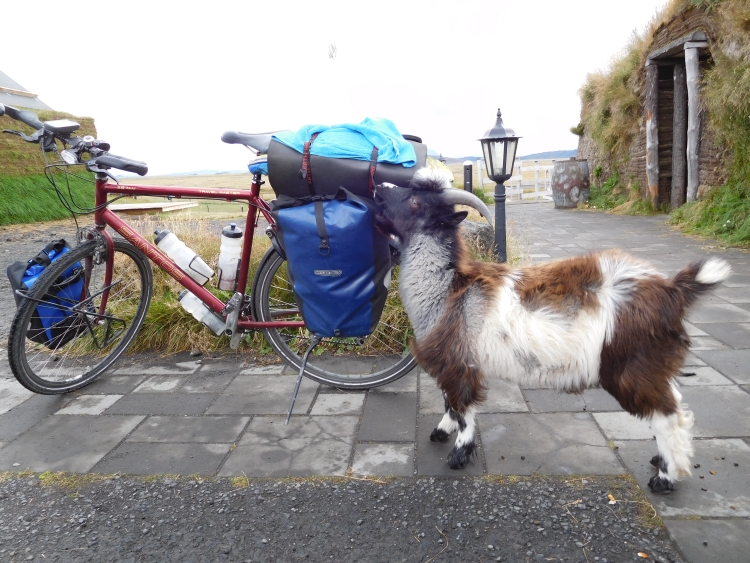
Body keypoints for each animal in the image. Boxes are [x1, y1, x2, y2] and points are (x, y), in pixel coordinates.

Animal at [376, 170, 736, 496]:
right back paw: (661, 461)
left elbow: (464, 409)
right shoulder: (454, 363)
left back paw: (665, 478)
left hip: (632, 368)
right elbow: (450, 403)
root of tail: (672, 290)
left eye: (415, 201)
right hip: (654, 365)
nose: (379, 189)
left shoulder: (460, 365)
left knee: (666, 417)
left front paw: (459, 454)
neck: (449, 290)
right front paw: (441, 431)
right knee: (675, 403)